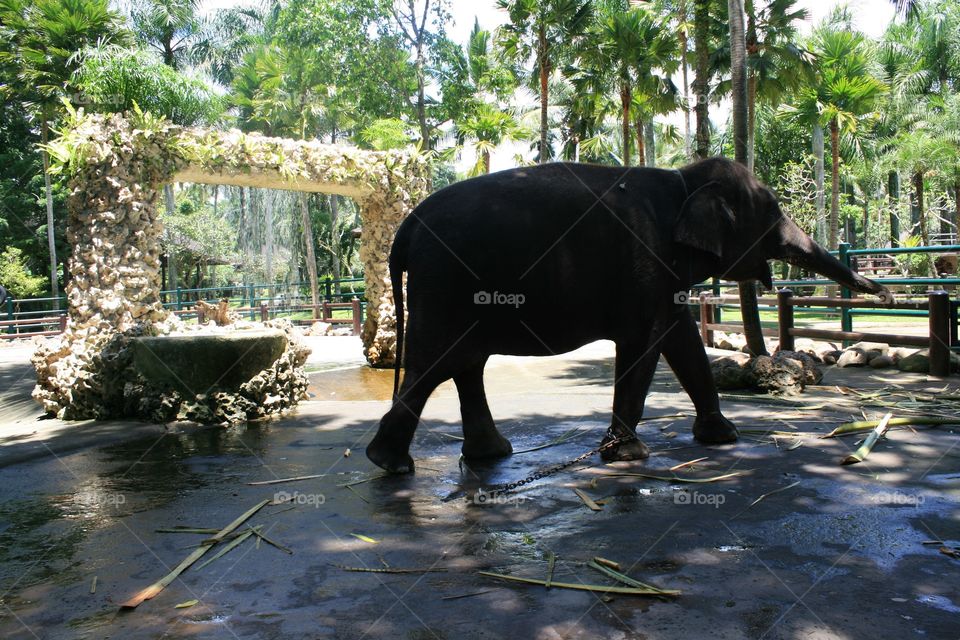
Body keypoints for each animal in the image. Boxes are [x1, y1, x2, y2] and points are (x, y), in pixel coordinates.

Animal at [366, 157, 889, 474]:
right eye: (772, 213)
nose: (883, 290)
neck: (684, 180)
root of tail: (405, 228)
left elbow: (683, 341)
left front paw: (723, 437)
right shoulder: (646, 263)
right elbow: (643, 345)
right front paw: (629, 455)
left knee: (466, 364)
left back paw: (487, 455)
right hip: (445, 285)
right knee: (436, 364)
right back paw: (389, 463)